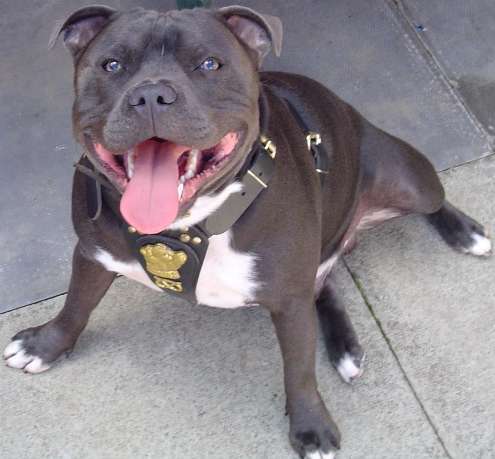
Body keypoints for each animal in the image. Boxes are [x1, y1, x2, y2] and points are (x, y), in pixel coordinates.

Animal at [4, 4, 492, 459]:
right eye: (111, 65)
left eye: (209, 64)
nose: (151, 95)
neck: (189, 226)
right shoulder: (92, 252)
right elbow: (76, 304)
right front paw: (45, 345)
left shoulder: (289, 301)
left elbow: (299, 369)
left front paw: (311, 427)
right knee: (325, 282)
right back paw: (346, 350)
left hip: (406, 179)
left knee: (433, 199)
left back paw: (464, 232)